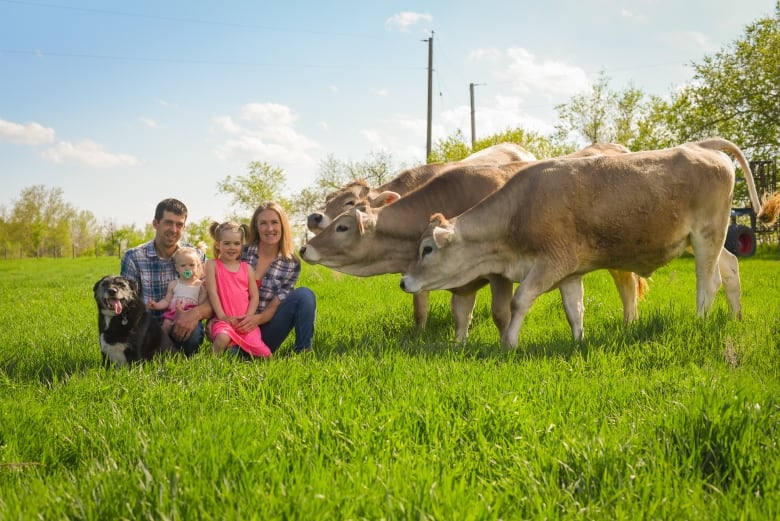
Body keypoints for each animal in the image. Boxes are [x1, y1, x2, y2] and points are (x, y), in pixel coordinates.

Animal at [402, 140, 780, 348]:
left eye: (427, 249)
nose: (404, 281)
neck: (518, 212)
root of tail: (700, 147)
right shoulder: (569, 271)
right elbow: (574, 309)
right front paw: (578, 340)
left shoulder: (549, 263)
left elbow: (519, 300)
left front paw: (508, 343)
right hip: (705, 238)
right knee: (729, 267)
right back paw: (735, 316)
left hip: (706, 236)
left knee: (708, 280)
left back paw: (701, 319)